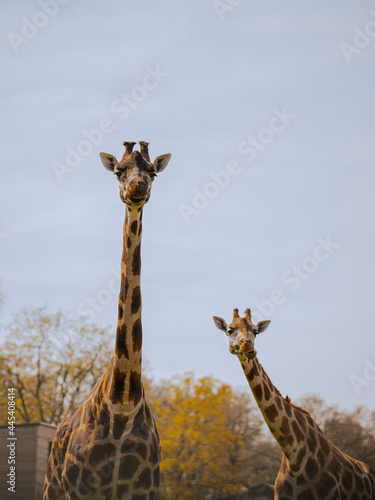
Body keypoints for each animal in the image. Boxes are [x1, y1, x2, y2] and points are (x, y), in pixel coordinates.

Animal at [44, 141, 172, 500]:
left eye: (153, 172)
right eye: (118, 171)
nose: (136, 187)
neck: (122, 404)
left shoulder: (143, 490)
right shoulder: (79, 489)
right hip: (52, 487)